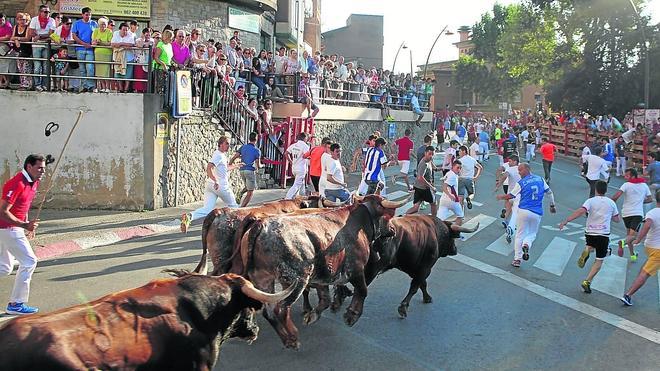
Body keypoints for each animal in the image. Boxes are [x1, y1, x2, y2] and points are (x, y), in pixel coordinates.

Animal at [237, 195, 408, 352]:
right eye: (388, 216)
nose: (393, 230)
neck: (359, 222)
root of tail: (261, 224)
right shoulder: (356, 269)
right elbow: (362, 291)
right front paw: (351, 316)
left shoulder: (322, 277)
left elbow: (325, 300)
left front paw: (313, 315)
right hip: (295, 280)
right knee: (281, 309)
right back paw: (293, 336)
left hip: (263, 280)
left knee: (269, 311)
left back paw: (288, 340)